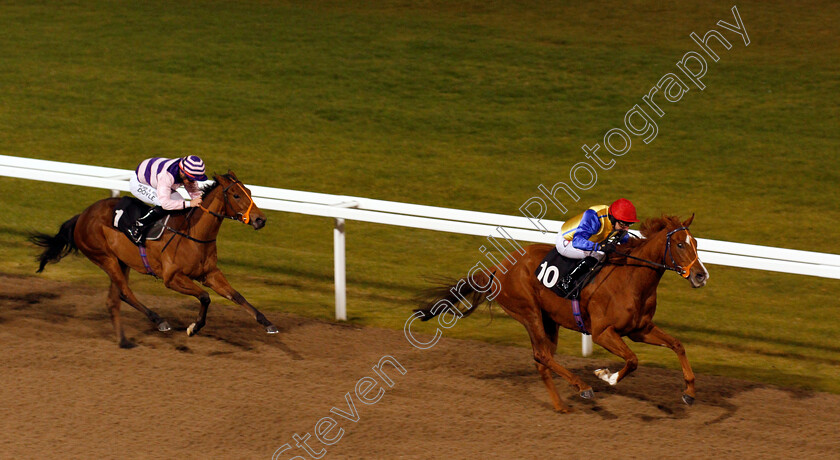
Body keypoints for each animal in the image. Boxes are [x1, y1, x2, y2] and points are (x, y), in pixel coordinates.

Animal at [30, 171, 278, 346]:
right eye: (236, 195)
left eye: (249, 192)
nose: (261, 219)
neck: (193, 233)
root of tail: (82, 215)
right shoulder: (172, 278)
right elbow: (205, 297)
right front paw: (194, 327)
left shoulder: (210, 274)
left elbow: (236, 295)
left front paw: (268, 323)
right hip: (104, 257)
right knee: (125, 292)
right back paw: (159, 321)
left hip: (122, 261)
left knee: (115, 298)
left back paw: (123, 340)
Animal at [416, 216, 704, 414]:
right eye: (680, 244)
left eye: (697, 244)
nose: (701, 275)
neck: (631, 279)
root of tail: (498, 268)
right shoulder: (602, 333)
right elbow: (632, 360)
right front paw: (606, 376)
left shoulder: (639, 330)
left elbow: (678, 345)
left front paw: (689, 391)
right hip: (529, 311)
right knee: (542, 355)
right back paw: (582, 387)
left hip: (549, 320)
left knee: (543, 360)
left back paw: (560, 404)